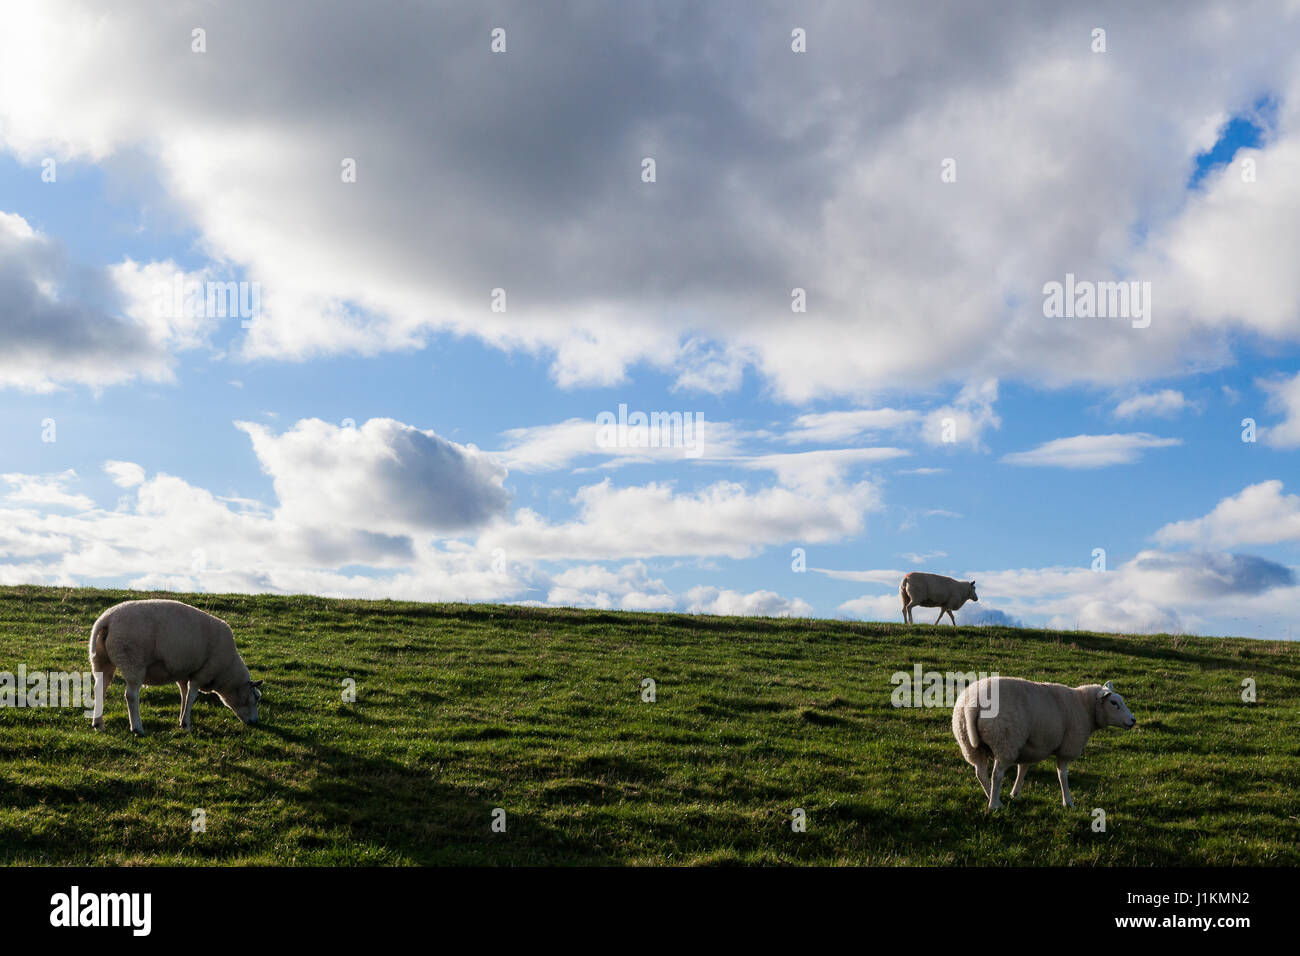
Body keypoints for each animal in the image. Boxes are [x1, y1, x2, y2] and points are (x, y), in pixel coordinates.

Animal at [88, 600, 261, 738]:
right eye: (256, 697)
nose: (255, 722)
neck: (227, 671)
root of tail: (107, 619)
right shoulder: (202, 673)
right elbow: (192, 696)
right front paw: (186, 724)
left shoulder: (184, 674)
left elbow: (184, 695)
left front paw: (181, 720)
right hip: (133, 661)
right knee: (131, 696)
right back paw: (137, 728)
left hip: (102, 660)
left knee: (99, 688)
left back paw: (98, 724)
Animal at [946, 676, 1138, 811]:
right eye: (1113, 703)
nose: (1133, 720)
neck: (1085, 708)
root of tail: (973, 703)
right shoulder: (1066, 748)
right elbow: (1063, 776)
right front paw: (1068, 802)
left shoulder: (1030, 745)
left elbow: (1023, 769)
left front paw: (1015, 794)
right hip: (1005, 740)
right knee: (997, 774)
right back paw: (994, 805)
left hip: (969, 743)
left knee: (980, 773)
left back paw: (992, 797)